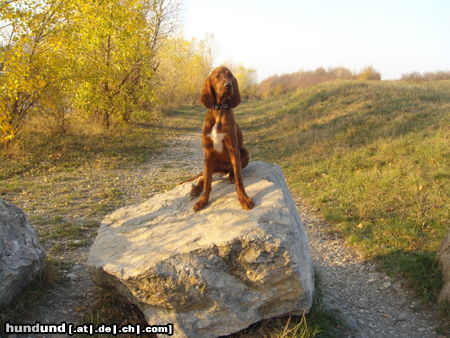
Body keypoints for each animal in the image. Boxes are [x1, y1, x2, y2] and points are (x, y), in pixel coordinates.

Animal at [190, 66, 253, 211]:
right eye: (217, 76)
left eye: (230, 76)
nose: (228, 85)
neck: (219, 111)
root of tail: (223, 170)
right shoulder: (207, 152)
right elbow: (207, 182)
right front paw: (203, 200)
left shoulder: (233, 149)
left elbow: (239, 179)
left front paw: (244, 198)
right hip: (211, 163)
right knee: (204, 176)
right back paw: (195, 189)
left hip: (244, 152)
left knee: (235, 171)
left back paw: (231, 176)